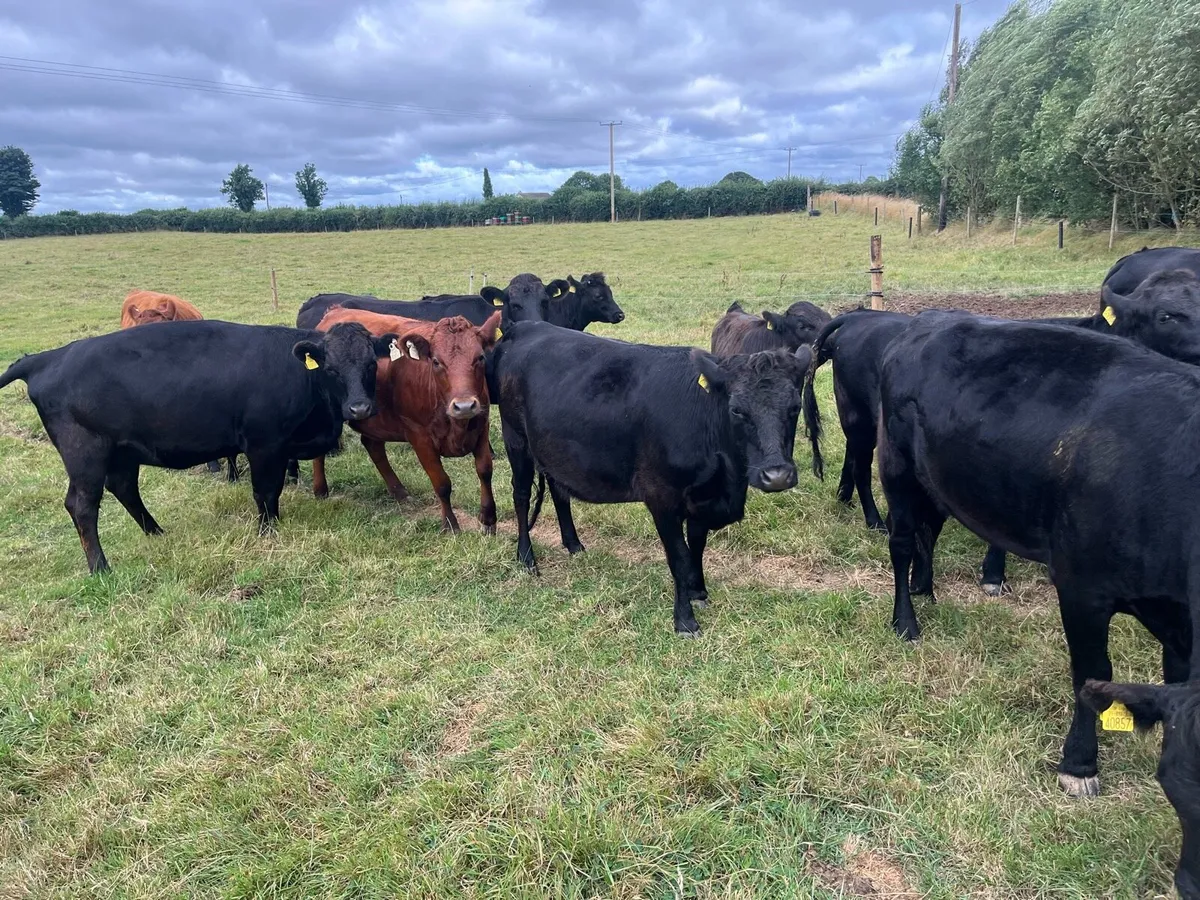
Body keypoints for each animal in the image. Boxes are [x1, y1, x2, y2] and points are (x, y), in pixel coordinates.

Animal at [0, 321, 395, 573]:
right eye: (331, 368)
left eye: (371, 364)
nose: (359, 408)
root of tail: (47, 358)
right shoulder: (264, 443)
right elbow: (266, 491)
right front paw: (268, 531)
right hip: (85, 454)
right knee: (82, 506)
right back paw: (100, 567)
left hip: (122, 451)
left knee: (125, 488)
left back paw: (156, 533)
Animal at [307, 307, 502, 534]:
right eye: (436, 362)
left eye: (480, 357)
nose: (464, 406)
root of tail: (336, 309)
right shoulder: (419, 436)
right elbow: (442, 483)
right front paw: (450, 525)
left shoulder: (481, 425)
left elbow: (485, 471)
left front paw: (488, 521)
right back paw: (320, 489)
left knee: (373, 445)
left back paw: (398, 491)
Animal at [489, 320, 810, 635]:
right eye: (737, 410)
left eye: (795, 407)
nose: (777, 475)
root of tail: (526, 325)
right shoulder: (661, 497)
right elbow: (679, 557)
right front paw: (685, 620)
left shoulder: (701, 499)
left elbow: (697, 548)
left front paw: (698, 592)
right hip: (516, 439)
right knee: (521, 496)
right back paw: (526, 558)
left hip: (554, 449)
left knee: (559, 491)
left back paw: (574, 545)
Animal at [875, 310, 1200, 799]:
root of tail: (926, 318)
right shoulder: (1080, 586)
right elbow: (1092, 673)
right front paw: (1079, 764)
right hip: (896, 467)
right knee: (900, 543)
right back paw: (906, 621)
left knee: (928, 532)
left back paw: (926, 590)